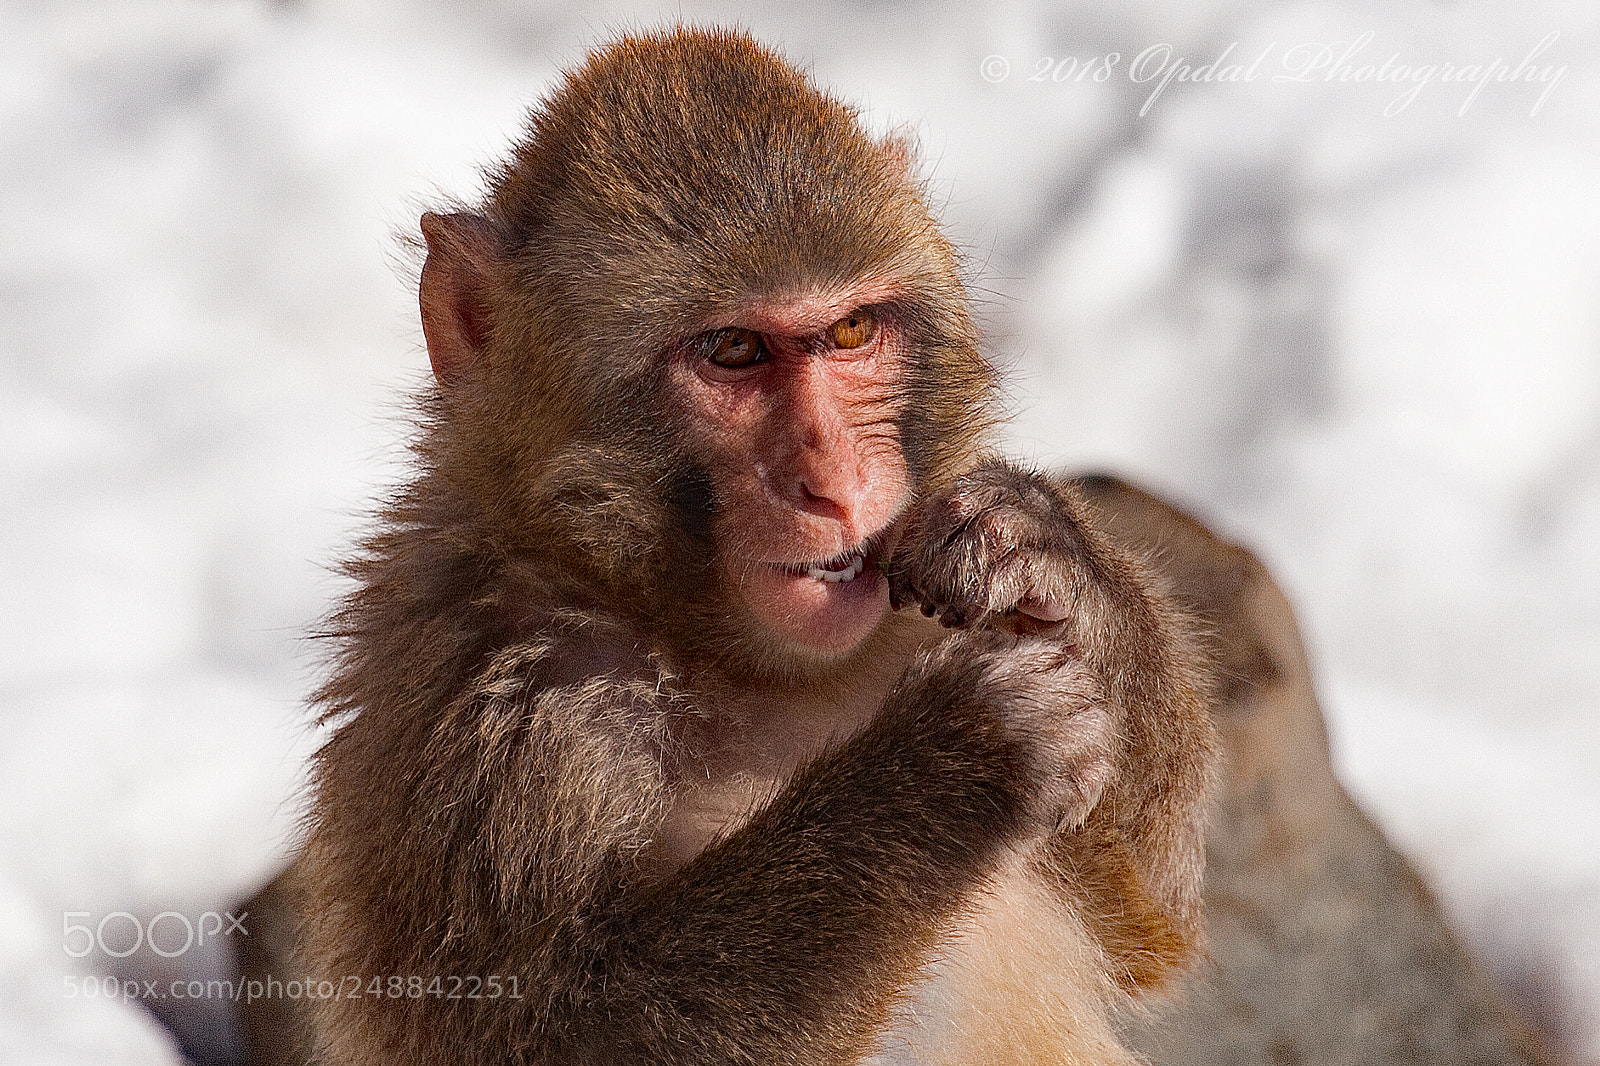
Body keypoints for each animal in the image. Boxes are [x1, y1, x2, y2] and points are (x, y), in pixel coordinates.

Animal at [298, 26, 1218, 1066]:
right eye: (733, 350)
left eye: (851, 329)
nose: (836, 480)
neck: (726, 653)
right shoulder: (493, 706)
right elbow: (539, 1033)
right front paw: (965, 756)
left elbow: (1153, 933)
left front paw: (1047, 546)